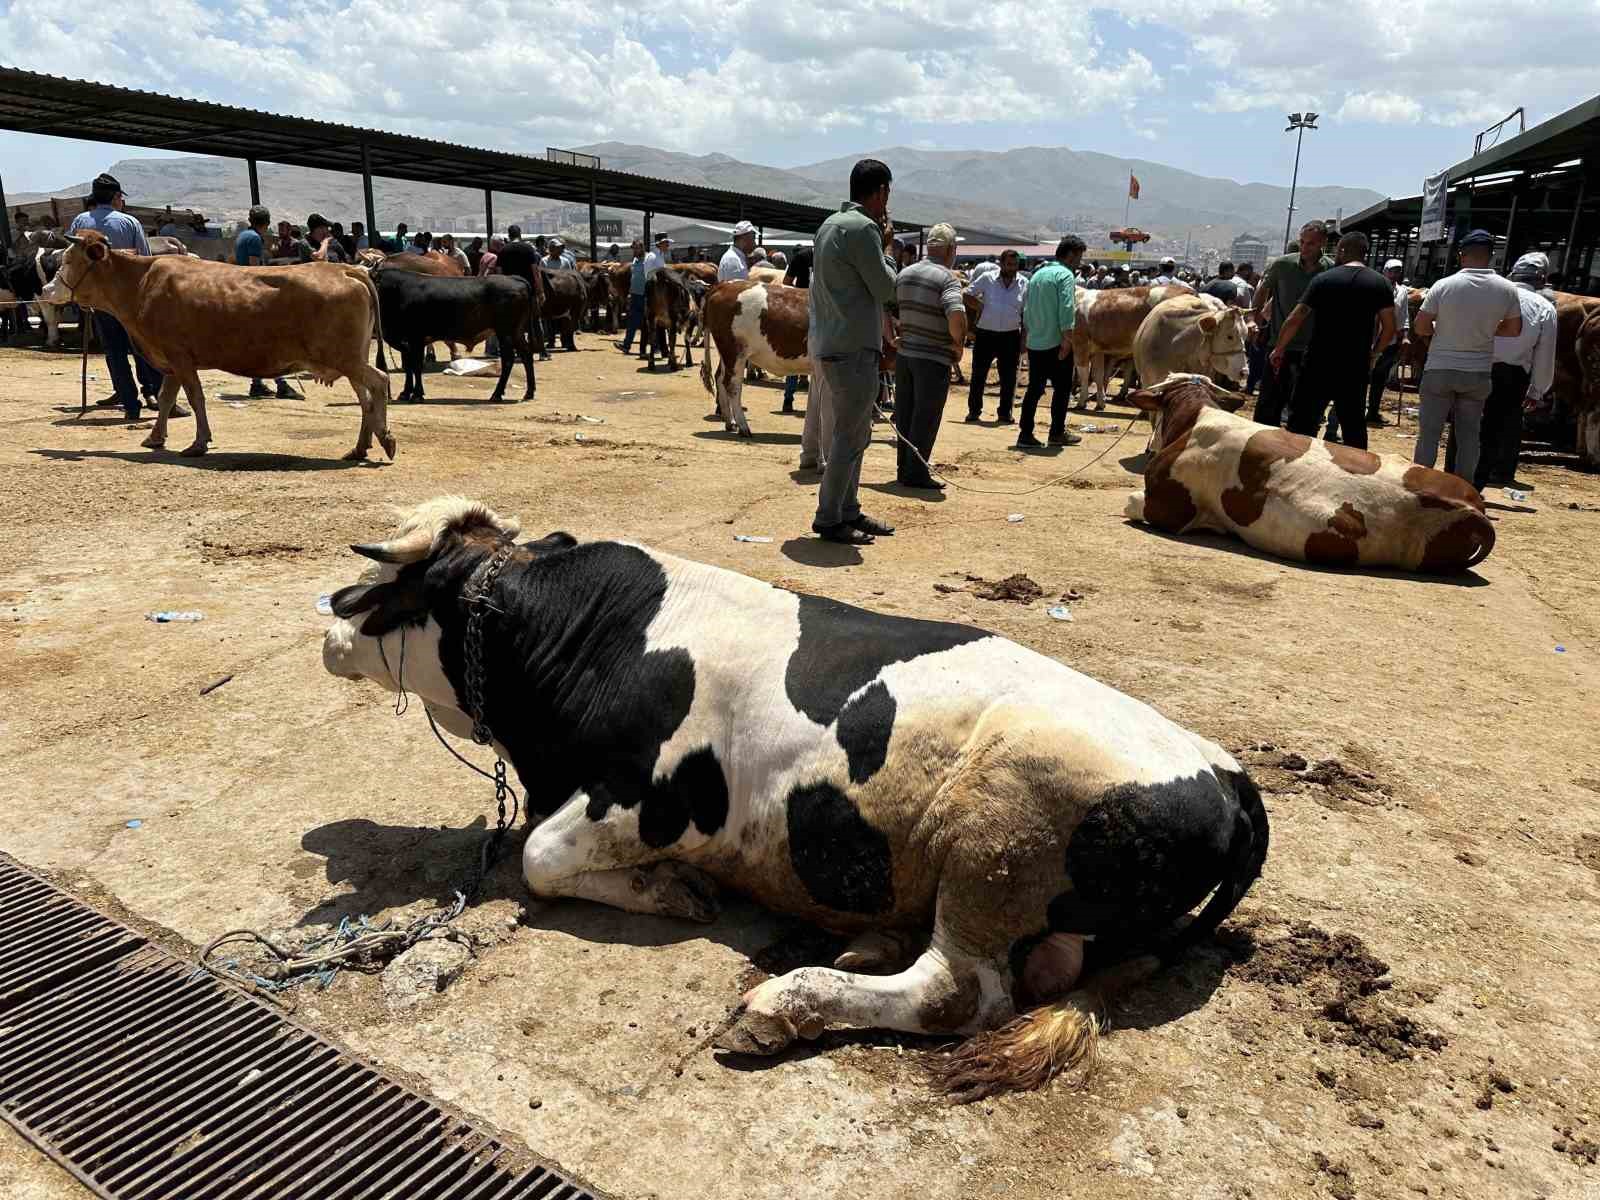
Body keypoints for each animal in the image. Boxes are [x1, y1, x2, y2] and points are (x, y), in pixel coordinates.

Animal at [41, 230, 393, 460]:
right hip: (349, 357)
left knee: (380, 381)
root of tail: (346, 268)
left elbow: (195, 398)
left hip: (346, 357)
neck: (140, 284)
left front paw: (199, 443)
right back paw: (360, 447)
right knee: (365, 398)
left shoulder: (180, 357)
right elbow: (167, 398)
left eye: (69, 260)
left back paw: (385, 437)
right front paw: (155, 437)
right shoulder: (171, 360)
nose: (45, 289)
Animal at [374, 272, 537, 404]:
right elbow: (408, 366)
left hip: (505, 333)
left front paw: (417, 395)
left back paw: (497, 394)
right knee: (526, 355)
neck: (397, 290)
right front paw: (406, 393)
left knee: (508, 359)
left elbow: (416, 366)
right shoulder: (405, 342)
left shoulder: (416, 338)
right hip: (516, 333)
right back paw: (529, 392)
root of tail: (513, 278)